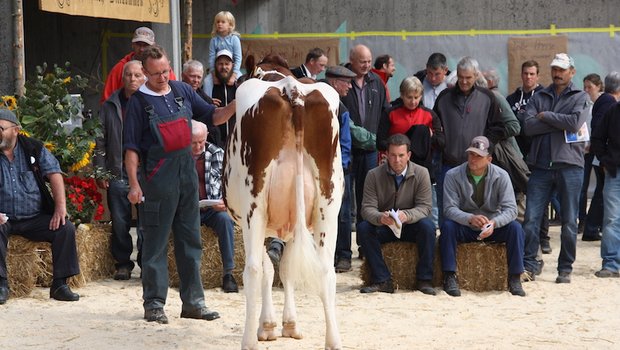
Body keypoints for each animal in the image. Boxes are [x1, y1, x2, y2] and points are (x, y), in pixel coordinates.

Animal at [224, 74, 344, 350]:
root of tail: (292, 88)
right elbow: (288, 267)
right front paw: (290, 325)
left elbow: (270, 268)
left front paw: (268, 326)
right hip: (328, 205)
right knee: (325, 269)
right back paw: (333, 340)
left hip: (254, 208)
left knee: (253, 269)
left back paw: (249, 341)